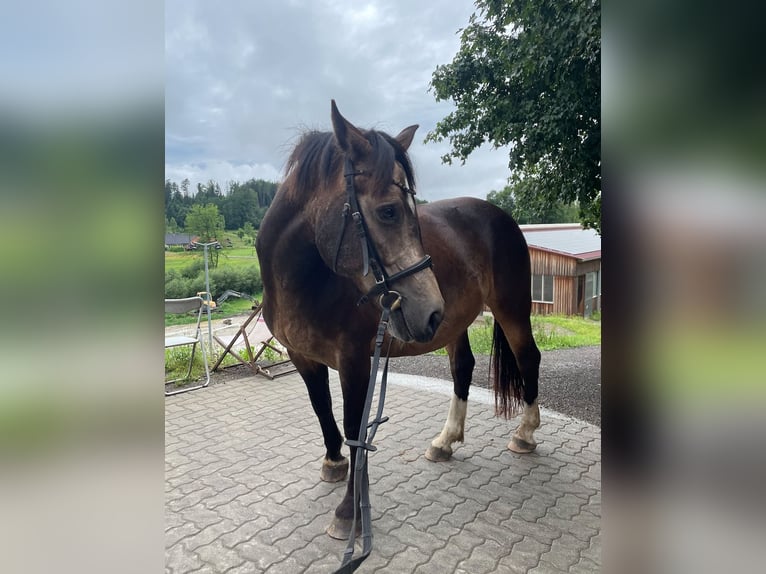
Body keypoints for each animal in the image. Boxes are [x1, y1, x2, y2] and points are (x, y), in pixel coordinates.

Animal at [256, 102, 540, 540]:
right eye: (388, 210)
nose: (430, 309)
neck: (306, 281)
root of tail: (501, 216)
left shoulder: (356, 362)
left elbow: (356, 428)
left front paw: (349, 511)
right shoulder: (302, 357)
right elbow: (322, 408)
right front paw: (333, 462)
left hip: (511, 309)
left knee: (528, 359)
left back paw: (525, 434)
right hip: (456, 322)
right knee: (463, 368)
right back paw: (445, 442)